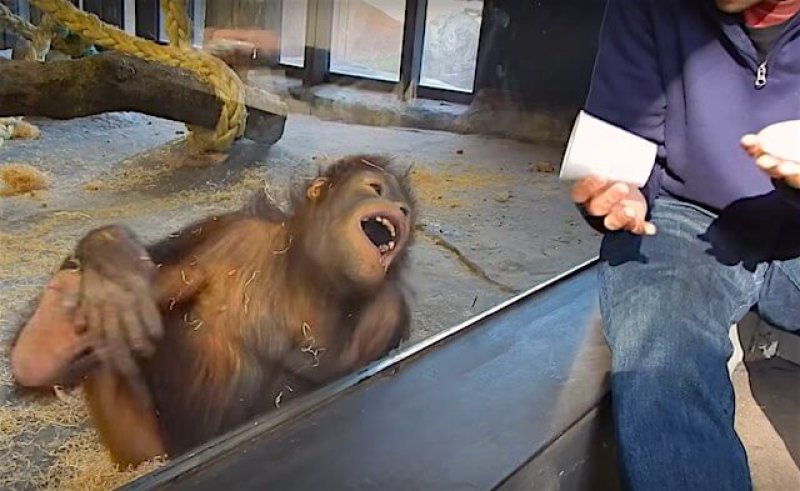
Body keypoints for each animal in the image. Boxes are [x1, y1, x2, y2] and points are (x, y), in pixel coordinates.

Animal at [9, 154, 417, 468]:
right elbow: (163, 275)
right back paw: (48, 337)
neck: (313, 274)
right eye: (375, 188)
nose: (399, 210)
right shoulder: (227, 232)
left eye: (405, 209)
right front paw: (112, 258)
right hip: (148, 445)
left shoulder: (388, 313)